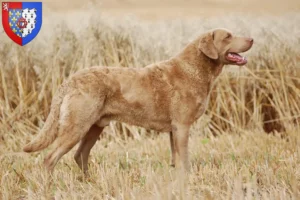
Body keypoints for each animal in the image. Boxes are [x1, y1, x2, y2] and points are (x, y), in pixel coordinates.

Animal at [22, 28, 253, 173]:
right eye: (228, 36)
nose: (251, 39)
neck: (196, 69)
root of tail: (70, 80)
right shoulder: (182, 126)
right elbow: (185, 158)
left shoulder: (174, 129)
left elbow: (176, 158)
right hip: (76, 126)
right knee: (50, 159)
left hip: (94, 127)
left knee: (80, 156)